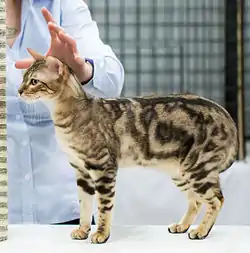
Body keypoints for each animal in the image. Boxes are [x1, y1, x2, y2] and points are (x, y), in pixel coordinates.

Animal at [18, 48, 238, 244]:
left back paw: (201, 231)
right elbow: (84, 206)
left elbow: (103, 207)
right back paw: (182, 226)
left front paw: (101, 234)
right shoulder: (82, 172)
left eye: (34, 81)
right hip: (181, 172)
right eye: (23, 78)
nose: (19, 91)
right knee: (197, 200)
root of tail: (228, 117)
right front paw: (82, 230)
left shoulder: (103, 168)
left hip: (197, 168)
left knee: (217, 200)